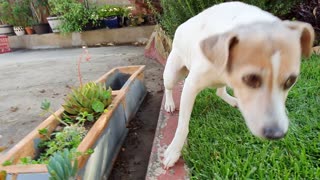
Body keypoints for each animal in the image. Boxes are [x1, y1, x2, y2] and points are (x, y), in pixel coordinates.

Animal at [161, 1, 314, 169]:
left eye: (290, 81)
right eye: (251, 78)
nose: (277, 134)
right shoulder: (190, 86)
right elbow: (182, 125)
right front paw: (174, 151)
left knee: (220, 92)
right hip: (172, 73)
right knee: (168, 86)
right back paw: (169, 103)